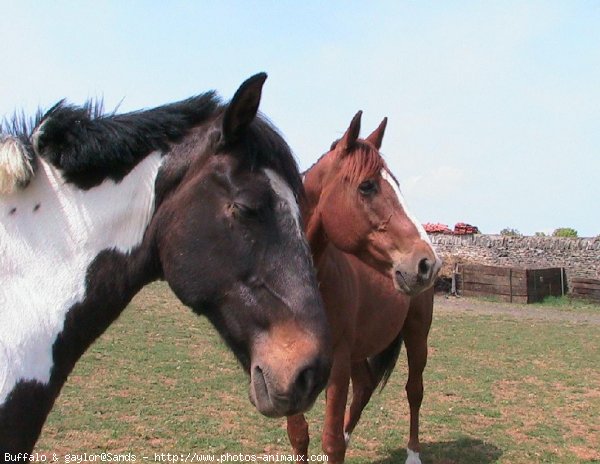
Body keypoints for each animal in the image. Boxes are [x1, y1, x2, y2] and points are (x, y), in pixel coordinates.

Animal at [286, 113, 440, 464]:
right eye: (367, 186)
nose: (426, 263)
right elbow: (299, 435)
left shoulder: (338, 364)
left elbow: (331, 443)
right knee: (366, 386)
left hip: (416, 334)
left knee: (414, 391)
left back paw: (413, 453)